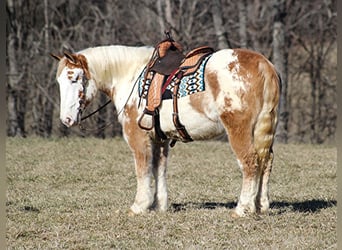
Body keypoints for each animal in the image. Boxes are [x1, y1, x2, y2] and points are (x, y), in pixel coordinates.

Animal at [50, 44, 280, 217]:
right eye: (60, 81)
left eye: (74, 78)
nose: (66, 119)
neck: (130, 76)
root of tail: (263, 64)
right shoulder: (159, 140)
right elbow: (158, 169)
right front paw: (159, 205)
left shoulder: (138, 137)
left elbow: (142, 170)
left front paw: (139, 206)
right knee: (265, 161)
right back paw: (260, 205)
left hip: (238, 130)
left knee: (250, 162)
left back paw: (242, 208)